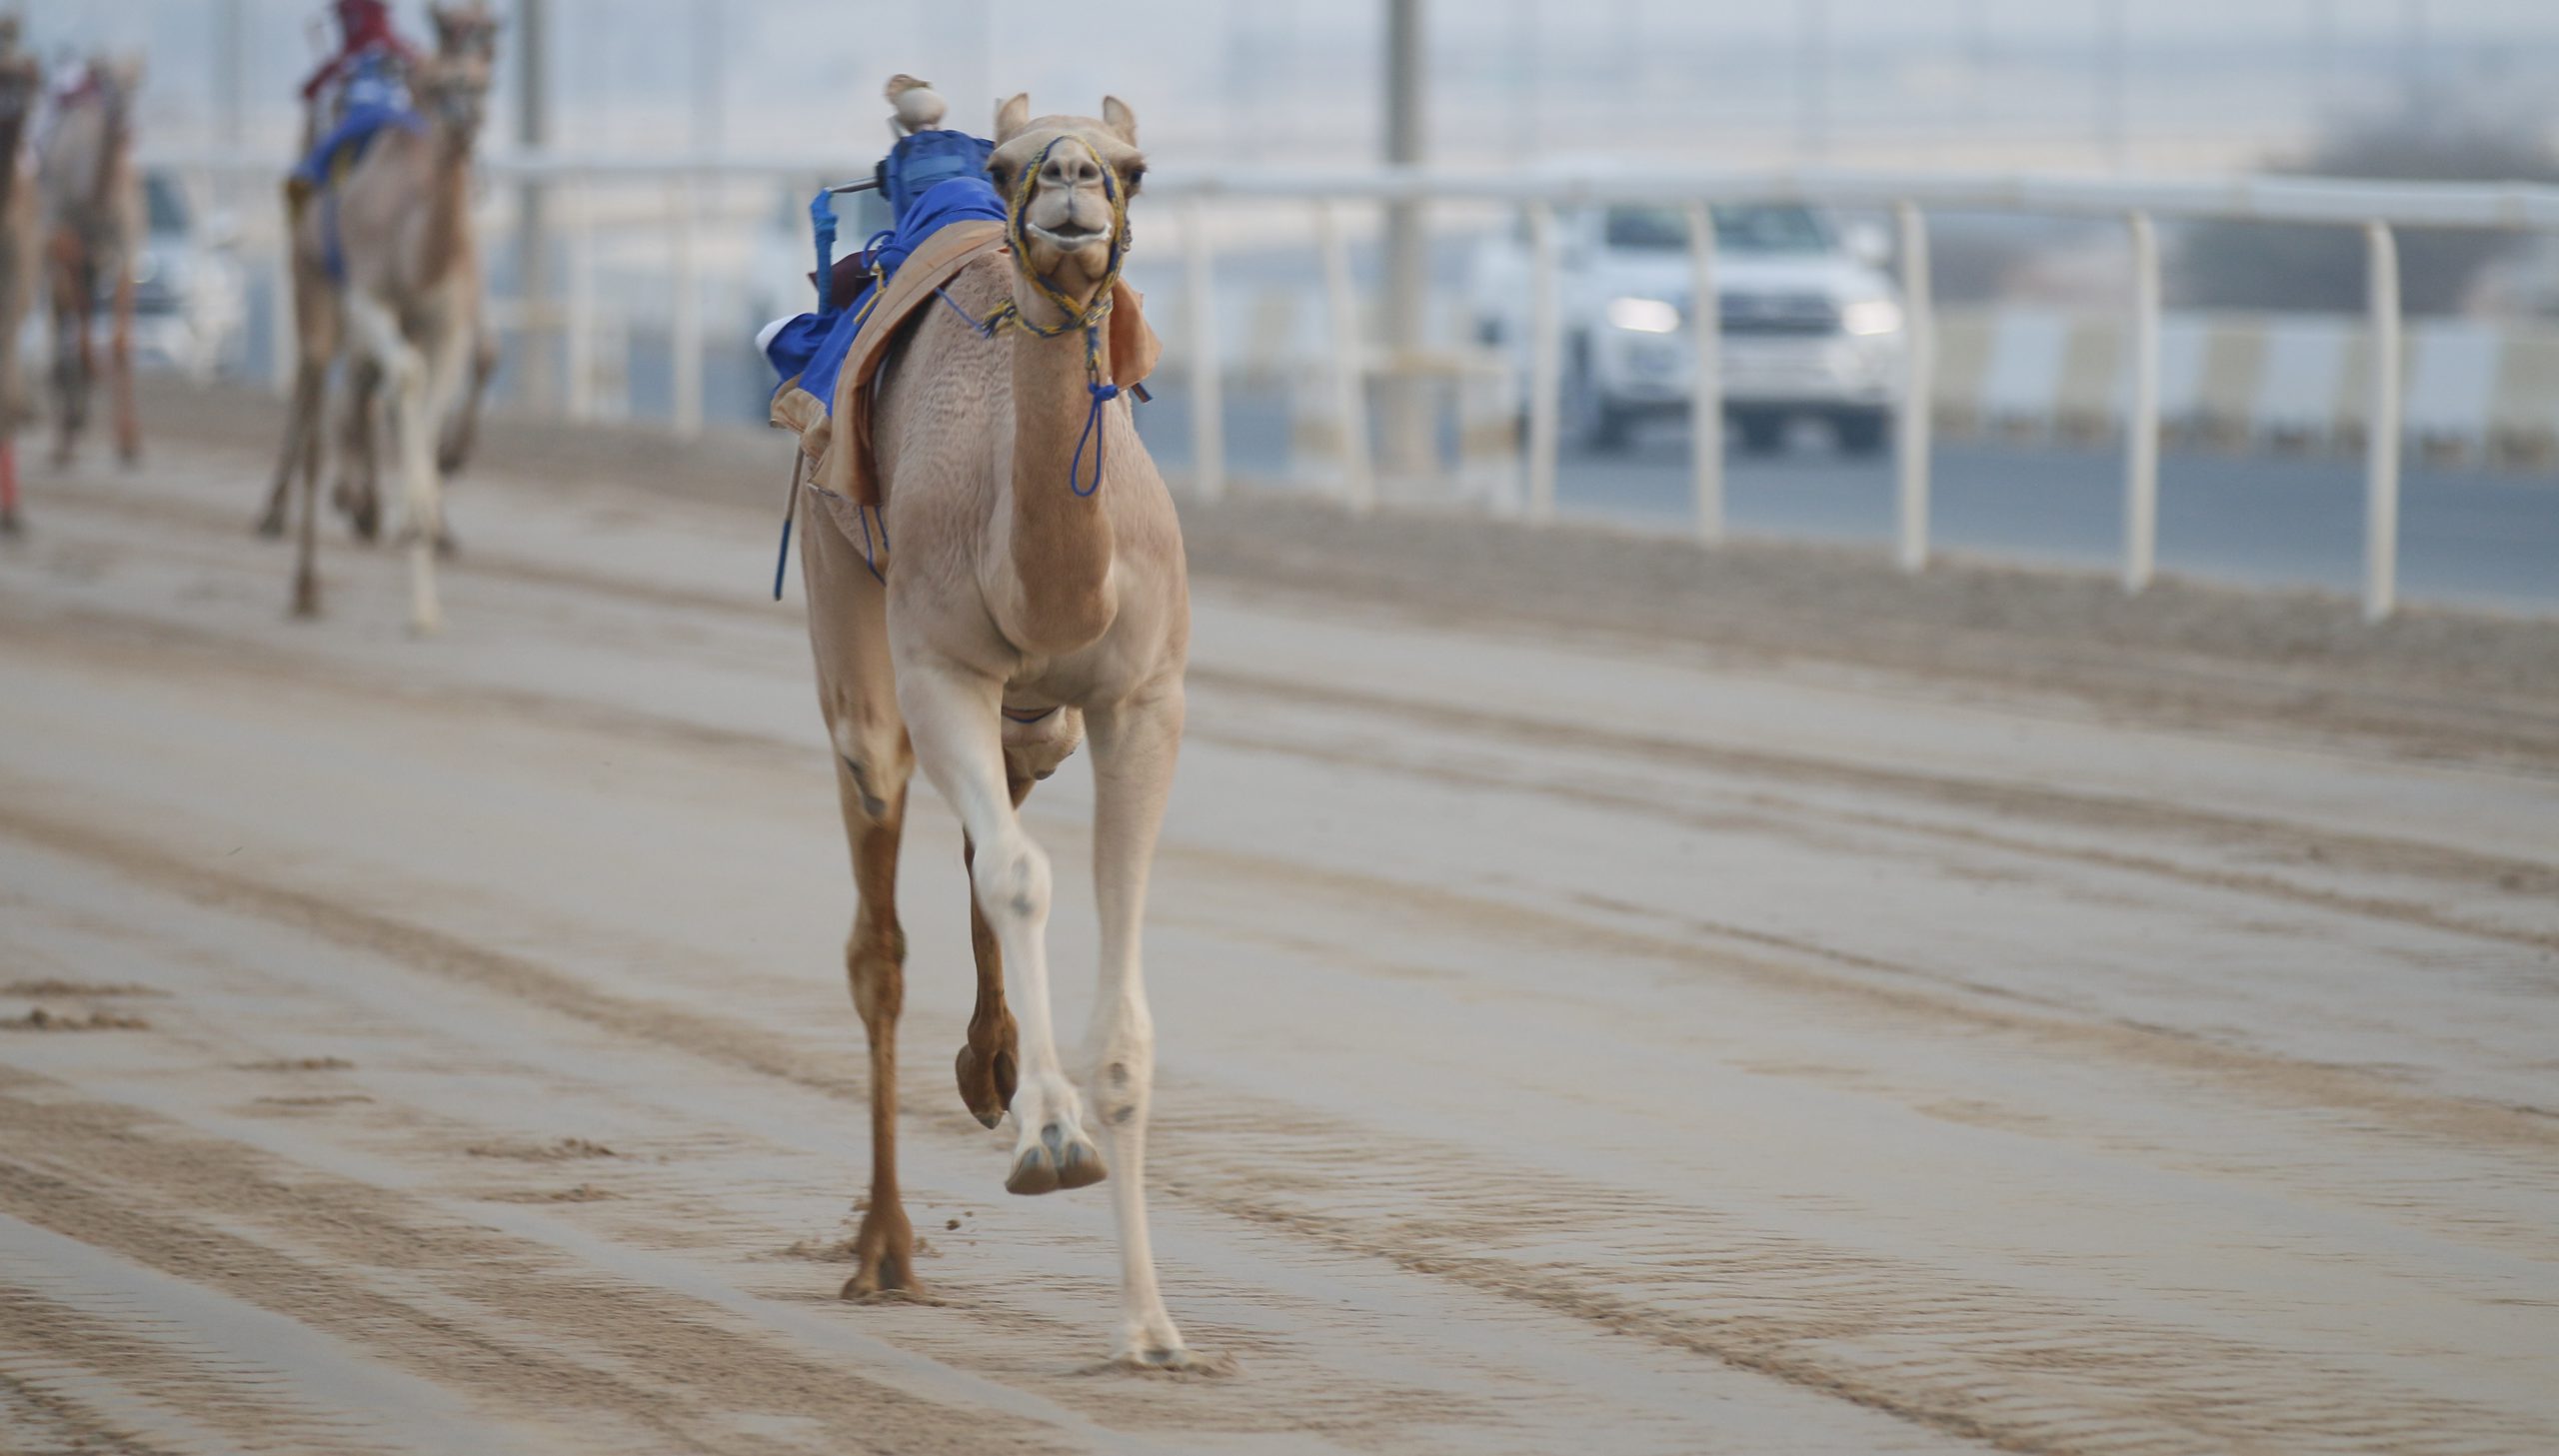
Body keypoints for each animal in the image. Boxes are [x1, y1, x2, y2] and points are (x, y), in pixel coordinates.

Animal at [793, 88, 1203, 1361]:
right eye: (1018, 161)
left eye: (1134, 166)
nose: (1069, 185)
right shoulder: (941, 668)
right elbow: (1021, 880)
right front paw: (1051, 1140)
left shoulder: (1140, 699)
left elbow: (1125, 1013)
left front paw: (1152, 1323)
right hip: (845, 598)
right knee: (880, 917)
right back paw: (884, 1250)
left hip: (1041, 717)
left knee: (999, 816)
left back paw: (991, 1066)